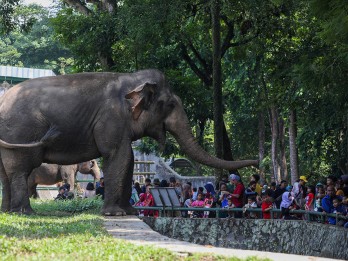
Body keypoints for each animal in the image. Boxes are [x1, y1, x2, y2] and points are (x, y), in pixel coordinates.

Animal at [0, 68, 256, 213]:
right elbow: (118, 156)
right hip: (21, 131)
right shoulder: (111, 118)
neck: (131, 79)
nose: (256, 162)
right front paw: (116, 214)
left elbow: (129, 159)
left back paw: (9, 212)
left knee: (6, 173)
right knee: (20, 171)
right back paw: (24, 212)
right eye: (170, 105)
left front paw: (130, 211)